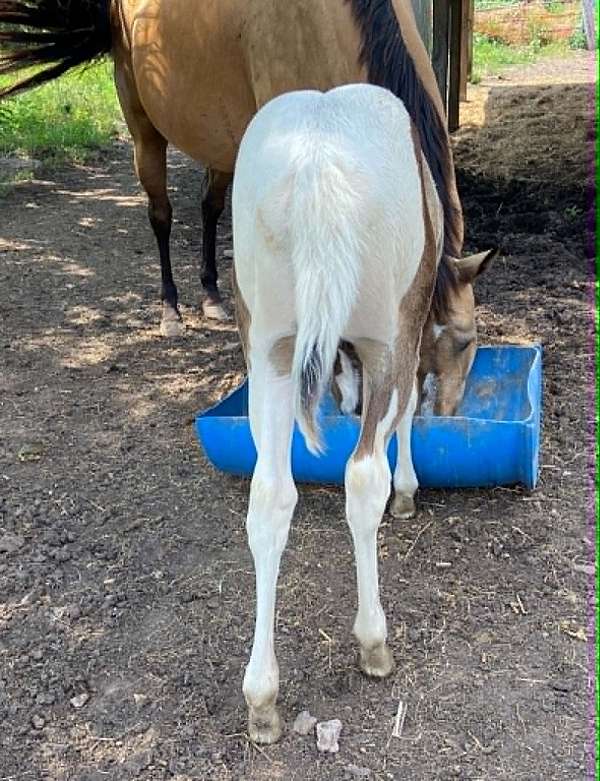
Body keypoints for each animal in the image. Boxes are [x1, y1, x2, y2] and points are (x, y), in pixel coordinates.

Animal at [0, 0, 467, 337]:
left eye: (464, 345)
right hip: (144, 132)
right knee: (161, 216)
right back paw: (170, 310)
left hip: (223, 145)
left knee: (210, 208)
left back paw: (211, 297)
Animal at [232, 83, 494, 744]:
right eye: (467, 340)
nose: (454, 407)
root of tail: (316, 165)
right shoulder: (403, 338)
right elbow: (404, 413)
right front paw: (408, 490)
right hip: (381, 338)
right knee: (361, 477)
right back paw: (374, 641)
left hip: (268, 348)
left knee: (270, 497)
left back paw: (262, 697)